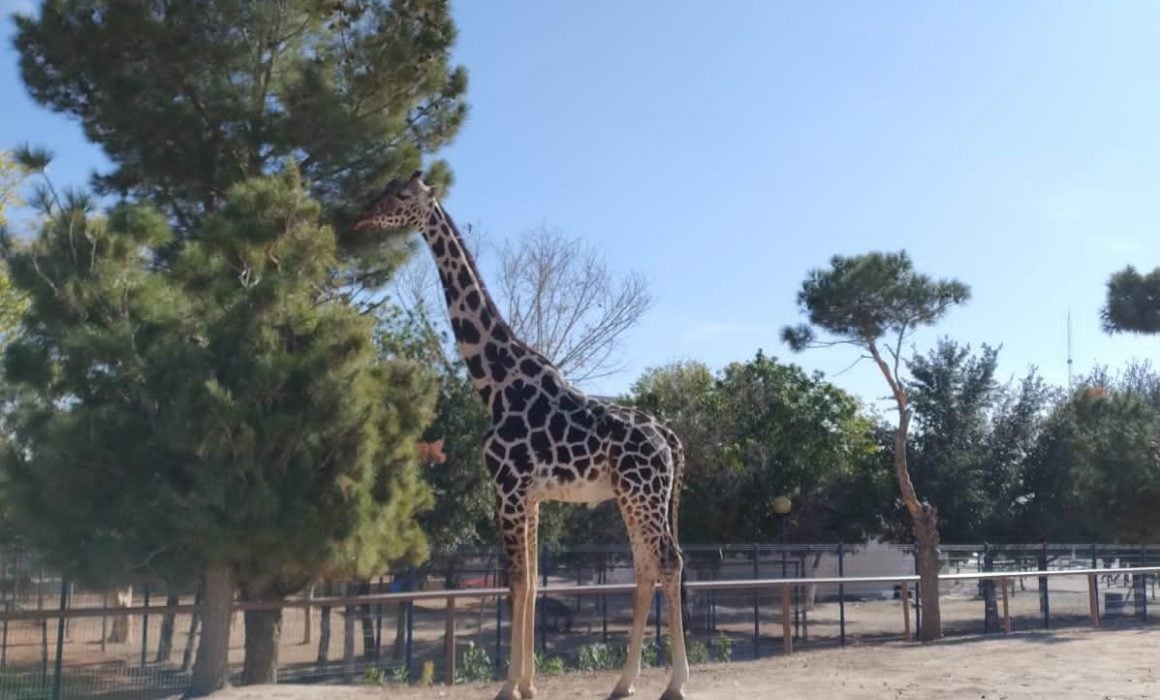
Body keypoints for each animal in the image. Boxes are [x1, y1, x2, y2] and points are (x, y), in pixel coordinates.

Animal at [354, 172, 689, 700]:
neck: (495, 383)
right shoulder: (530, 498)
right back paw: (624, 682)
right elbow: (531, 581)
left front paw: (509, 686)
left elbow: (514, 581)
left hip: (644, 493)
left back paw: (674, 683)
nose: (363, 215)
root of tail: (670, 439)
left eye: (402, 195)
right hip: (633, 497)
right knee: (646, 567)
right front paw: (527, 684)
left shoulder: (507, 490)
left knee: (669, 561)